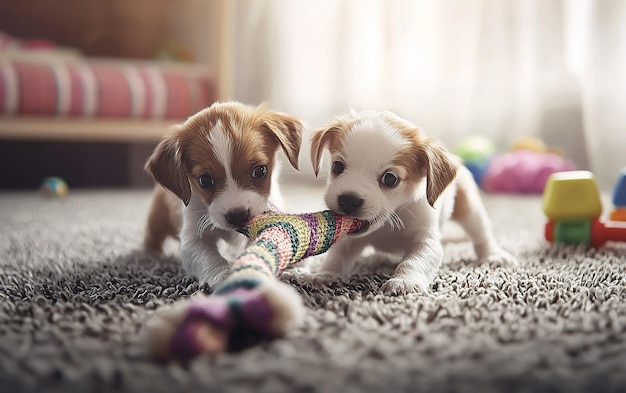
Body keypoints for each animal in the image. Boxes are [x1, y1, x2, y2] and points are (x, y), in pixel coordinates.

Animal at [146, 99, 302, 286]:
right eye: (205, 180)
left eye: (260, 171)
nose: (237, 215)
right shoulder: (192, 238)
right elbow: (209, 258)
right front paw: (224, 276)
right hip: (157, 219)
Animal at [308, 108, 516, 292]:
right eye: (337, 166)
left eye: (390, 178)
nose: (348, 200)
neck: (388, 224)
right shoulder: (349, 240)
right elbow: (337, 257)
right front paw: (325, 275)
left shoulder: (427, 242)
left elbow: (414, 262)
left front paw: (404, 282)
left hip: (469, 208)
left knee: (482, 234)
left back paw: (494, 255)